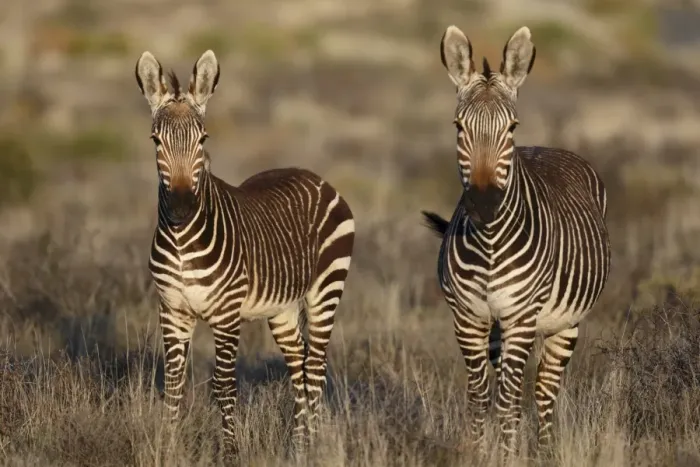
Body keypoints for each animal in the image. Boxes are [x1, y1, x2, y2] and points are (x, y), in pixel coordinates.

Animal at [134, 50, 355, 453]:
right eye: (155, 141)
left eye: (203, 139)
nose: (181, 209)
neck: (183, 243)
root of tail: (315, 177)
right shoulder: (172, 310)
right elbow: (173, 384)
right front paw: (168, 446)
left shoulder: (226, 314)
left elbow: (224, 386)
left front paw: (230, 451)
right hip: (282, 309)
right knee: (299, 365)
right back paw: (298, 446)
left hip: (326, 290)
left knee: (315, 368)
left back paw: (313, 446)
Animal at [421, 26, 611, 452]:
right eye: (458, 127)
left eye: (511, 128)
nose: (484, 204)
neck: (490, 244)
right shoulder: (468, 317)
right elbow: (480, 396)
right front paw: (478, 452)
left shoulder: (522, 315)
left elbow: (508, 398)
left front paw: (508, 455)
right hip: (499, 329)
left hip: (563, 324)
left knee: (543, 389)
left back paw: (543, 450)